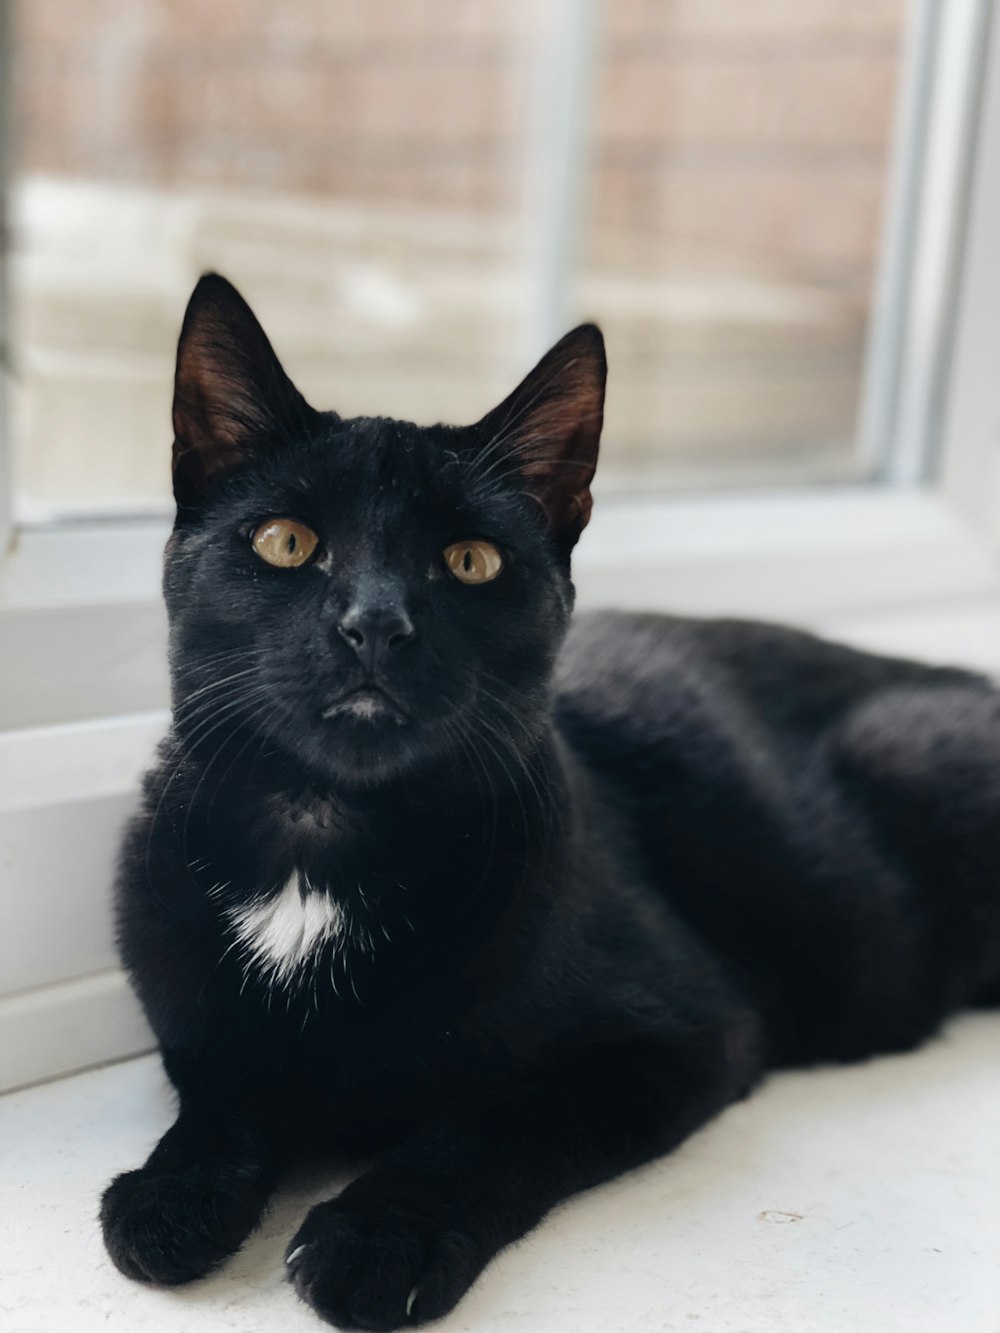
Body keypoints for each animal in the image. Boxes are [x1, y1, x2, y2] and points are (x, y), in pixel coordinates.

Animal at [100, 275, 1000, 1327]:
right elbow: (221, 1084)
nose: (376, 622)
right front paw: (173, 1190)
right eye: (287, 542)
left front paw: (379, 1233)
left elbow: (493, 1123)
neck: (318, 846)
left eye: (472, 561)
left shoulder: (680, 1034)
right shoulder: (195, 1018)